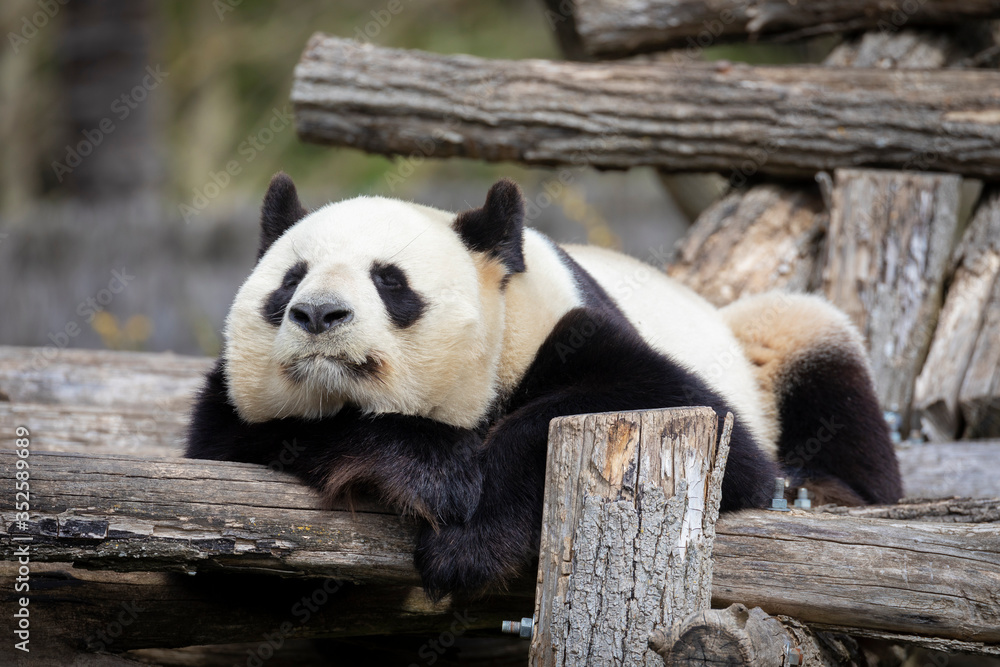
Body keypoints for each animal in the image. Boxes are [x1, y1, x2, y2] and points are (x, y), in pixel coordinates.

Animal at [187, 173, 902, 598]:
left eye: (389, 281)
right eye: (289, 281)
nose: (317, 314)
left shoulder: (566, 329)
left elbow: (699, 423)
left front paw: (469, 542)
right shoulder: (233, 417)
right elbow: (246, 440)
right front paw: (425, 468)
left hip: (770, 339)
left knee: (816, 352)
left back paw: (816, 488)